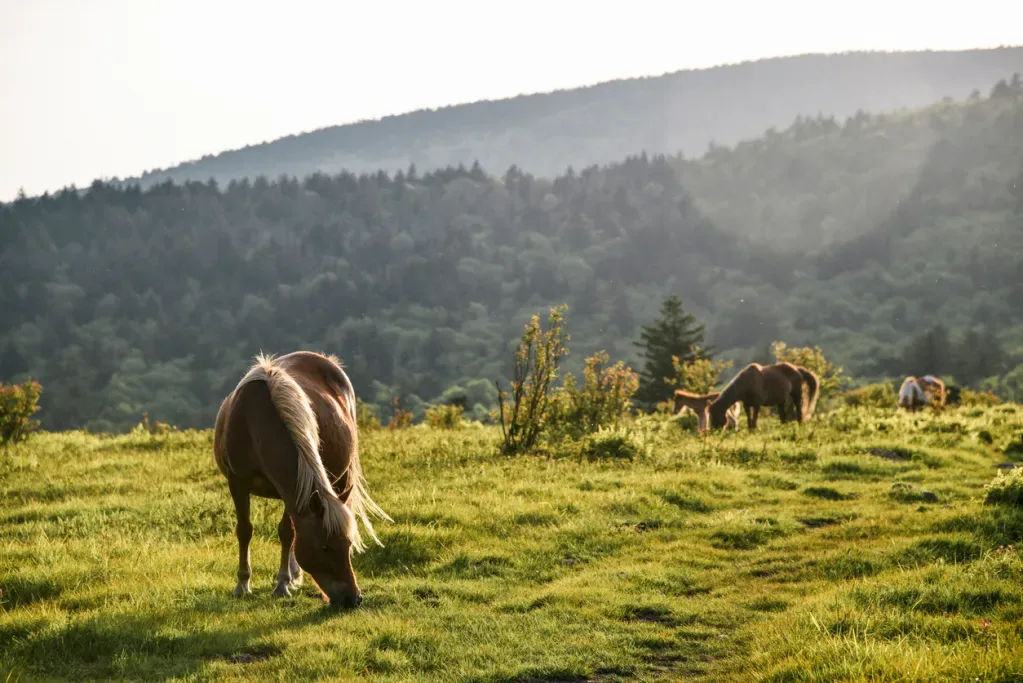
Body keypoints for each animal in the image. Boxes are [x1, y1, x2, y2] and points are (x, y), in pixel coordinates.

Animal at [213, 351, 392, 608]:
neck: (255, 423)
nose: (353, 599)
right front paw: (242, 584)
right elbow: (244, 530)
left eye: (348, 545)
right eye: (324, 547)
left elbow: (287, 533)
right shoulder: (237, 482)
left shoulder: (294, 489)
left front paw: (282, 584)